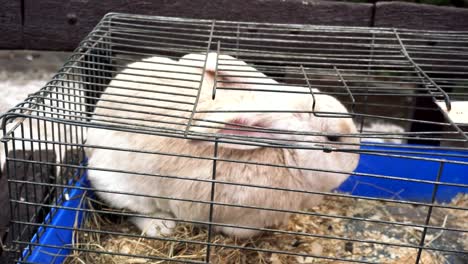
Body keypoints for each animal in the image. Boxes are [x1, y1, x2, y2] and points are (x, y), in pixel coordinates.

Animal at [85, 52, 362, 238]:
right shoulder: (240, 222)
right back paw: (161, 227)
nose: (357, 158)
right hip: (117, 184)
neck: (286, 156)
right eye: (333, 139)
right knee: (135, 211)